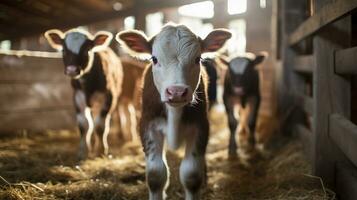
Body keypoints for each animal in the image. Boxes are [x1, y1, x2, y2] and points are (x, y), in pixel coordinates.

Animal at [44, 28, 123, 159]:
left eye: (87, 50)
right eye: (64, 50)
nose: (71, 70)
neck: (88, 86)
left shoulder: (108, 97)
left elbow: (100, 125)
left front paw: (101, 150)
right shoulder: (77, 97)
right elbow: (83, 125)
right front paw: (83, 151)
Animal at [114, 24, 231, 200]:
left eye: (197, 59)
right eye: (154, 59)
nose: (176, 92)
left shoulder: (201, 126)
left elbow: (191, 175)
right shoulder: (148, 125)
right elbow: (155, 175)